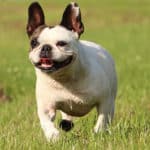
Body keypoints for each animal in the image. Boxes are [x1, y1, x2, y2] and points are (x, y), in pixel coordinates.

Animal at [26, 1, 117, 141]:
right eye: (34, 43)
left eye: (61, 43)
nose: (45, 47)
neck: (64, 79)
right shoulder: (46, 106)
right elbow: (46, 122)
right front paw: (53, 136)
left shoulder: (104, 100)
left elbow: (102, 119)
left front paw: (98, 133)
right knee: (66, 116)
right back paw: (66, 123)